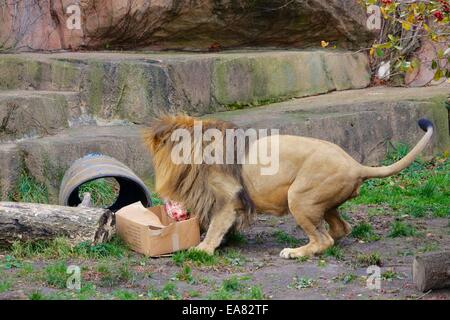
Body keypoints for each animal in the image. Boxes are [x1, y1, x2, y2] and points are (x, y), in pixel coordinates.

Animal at [143, 115, 432, 260]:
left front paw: (203, 249)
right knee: (339, 229)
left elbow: (216, 226)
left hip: (299, 197)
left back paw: (295, 252)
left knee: (323, 239)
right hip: (320, 202)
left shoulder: (229, 198)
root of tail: (356, 164)